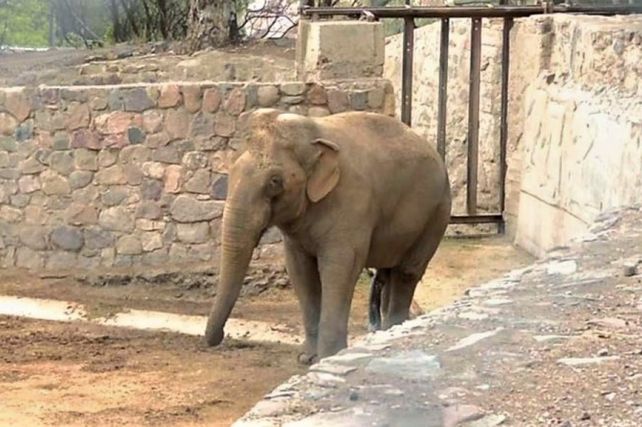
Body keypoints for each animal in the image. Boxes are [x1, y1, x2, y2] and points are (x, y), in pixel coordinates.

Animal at [204, 108, 452, 362]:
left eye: (274, 182)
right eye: (231, 171)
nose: (220, 337)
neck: (314, 133)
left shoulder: (352, 203)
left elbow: (339, 269)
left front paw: (328, 356)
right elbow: (301, 272)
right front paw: (307, 358)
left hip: (437, 212)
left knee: (407, 272)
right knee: (389, 271)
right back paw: (385, 333)